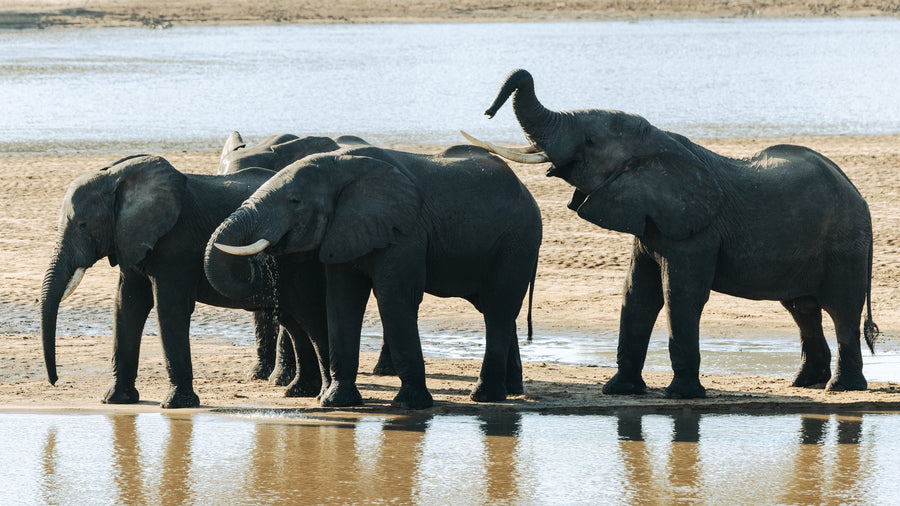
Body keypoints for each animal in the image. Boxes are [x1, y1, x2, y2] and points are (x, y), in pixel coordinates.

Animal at [39, 154, 330, 408]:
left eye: (83, 224)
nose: (54, 381)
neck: (116, 177)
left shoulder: (175, 245)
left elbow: (168, 308)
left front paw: (175, 405)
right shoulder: (130, 239)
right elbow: (127, 305)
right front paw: (115, 400)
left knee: (304, 315)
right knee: (294, 322)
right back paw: (299, 392)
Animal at [203, 144, 542, 409]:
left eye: (295, 201)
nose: (259, 261)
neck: (339, 165)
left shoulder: (405, 230)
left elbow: (394, 299)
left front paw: (409, 405)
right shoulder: (343, 230)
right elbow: (341, 300)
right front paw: (336, 402)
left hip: (518, 242)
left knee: (497, 310)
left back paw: (485, 396)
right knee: (496, 309)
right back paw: (510, 392)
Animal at [465, 68, 878, 399]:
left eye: (591, 142)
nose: (487, 111)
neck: (659, 142)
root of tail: (858, 194)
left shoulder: (695, 233)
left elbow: (680, 295)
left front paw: (680, 395)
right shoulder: (649, 221)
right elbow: (637, 294)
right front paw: (619, 391)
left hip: (846, 243)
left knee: (841, 308)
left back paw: (840, 388)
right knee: (802, 309)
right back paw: (804, 383)